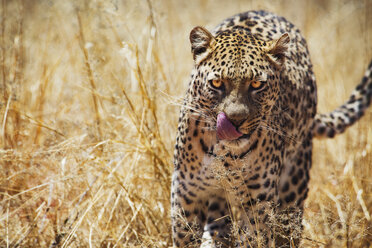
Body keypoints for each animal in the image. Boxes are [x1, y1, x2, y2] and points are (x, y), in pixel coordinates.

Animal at [172, 10, 372, 248]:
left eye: (257, 85)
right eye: (217, 84)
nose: (235, 120)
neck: (225, 153)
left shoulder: (257, 204)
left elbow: (255, 238)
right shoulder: (187, 195)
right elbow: (185, 237)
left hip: (294, 185)